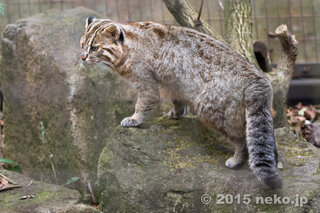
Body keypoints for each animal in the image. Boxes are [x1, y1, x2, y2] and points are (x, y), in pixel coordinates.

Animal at [80, 17, 282, 189]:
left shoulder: (147, 85)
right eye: (82, 45)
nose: (82, 57)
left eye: (95, 47)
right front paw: (176, 114)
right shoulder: (173, 84)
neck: (129, 47)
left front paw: (134, 119)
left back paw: (236, 160)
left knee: (242, 140)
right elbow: (178, 102)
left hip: (212, 112)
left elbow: (142, 105)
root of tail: (258, 79)